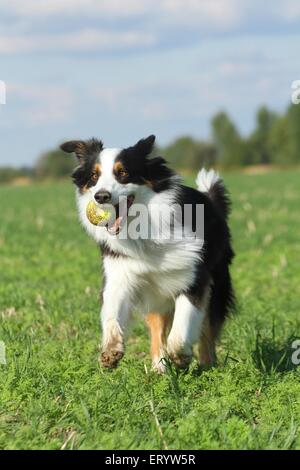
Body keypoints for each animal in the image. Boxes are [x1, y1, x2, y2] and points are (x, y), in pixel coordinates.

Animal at [61, 134, 234, 372]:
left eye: (123, 172)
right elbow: (112, 313)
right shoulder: (120, 274)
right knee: (157, 330)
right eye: (94, 176)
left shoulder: (194, 276)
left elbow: (182, 326)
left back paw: (207, 366)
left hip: (216, 283)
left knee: (207, 331)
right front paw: (110, 351)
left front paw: (181, 356)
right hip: (156, 294)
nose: (101, 196)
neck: (142, 231)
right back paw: (159, 369)